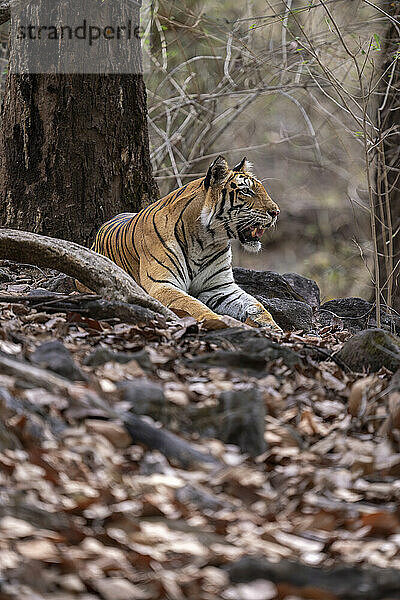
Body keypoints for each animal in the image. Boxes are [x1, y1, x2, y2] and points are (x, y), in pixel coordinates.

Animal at [88, 156, 282, 328]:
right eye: (246, 191)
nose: (276, 212)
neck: (206, 241)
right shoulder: (162, 284)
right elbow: (193, 305)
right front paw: (219, 321)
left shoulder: (220, 287)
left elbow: (257, 305)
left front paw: (273, 328)